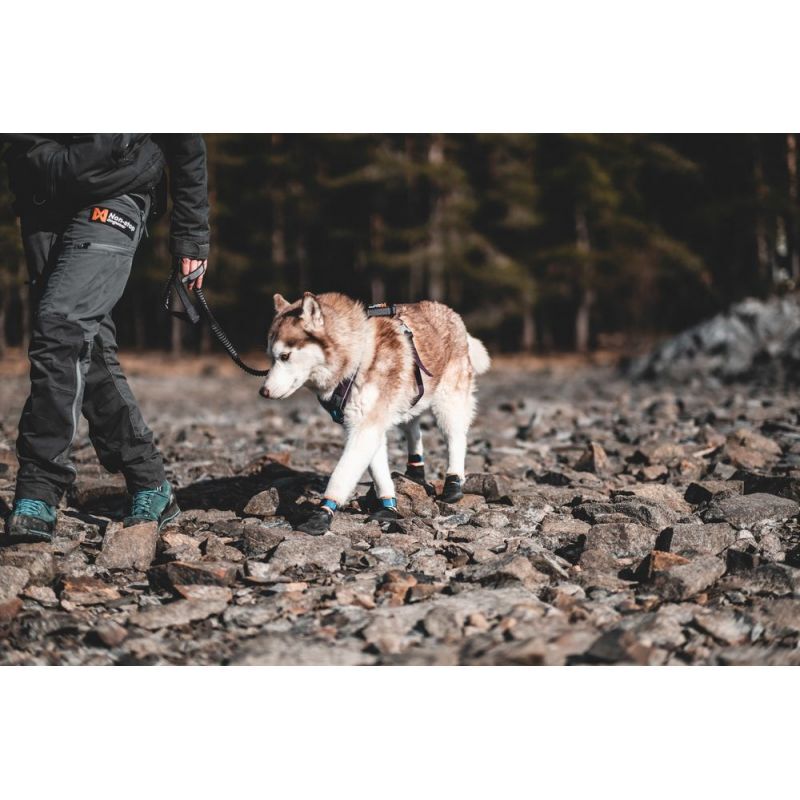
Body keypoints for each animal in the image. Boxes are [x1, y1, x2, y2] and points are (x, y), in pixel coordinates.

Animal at [260, 290, 490, 536]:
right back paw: (415, 472)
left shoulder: (366, 428)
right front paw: (388, 506)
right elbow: (379, 472)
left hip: (447, 403)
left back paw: (453, 483)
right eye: (271, 357)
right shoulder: (366, 424)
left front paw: (323, 513)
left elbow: (341, 474)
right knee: (413, 430)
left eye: (285, 356)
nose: (263, 391)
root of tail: (450, 312)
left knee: (456, 438)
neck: (357, 357)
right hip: (410, 400)